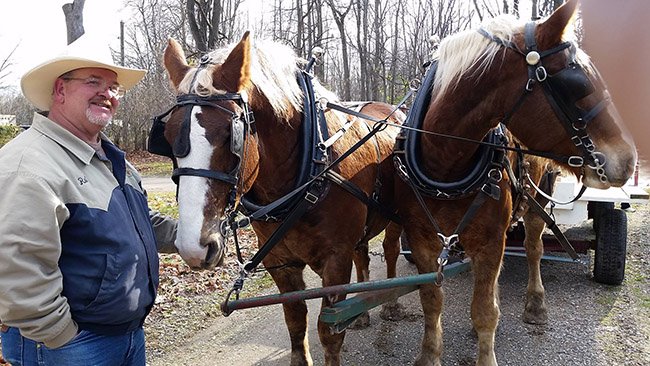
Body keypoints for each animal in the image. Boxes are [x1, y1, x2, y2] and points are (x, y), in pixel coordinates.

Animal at [161, 35, 400, 366]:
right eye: (168, 138)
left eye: (230, 136)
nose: (193, 247)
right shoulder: (279, 262)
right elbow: (295, 320)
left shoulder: (335, 260)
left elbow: (328, 331)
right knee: (362, 254)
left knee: (391, 250)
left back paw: (390, 304)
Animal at [388, 1, 636, 364]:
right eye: (578, 83)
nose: (629, 158)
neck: (444, 165)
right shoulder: (422, 240)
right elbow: (431, 301)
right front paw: (430, 354)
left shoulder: (491, 240)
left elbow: (484, 311)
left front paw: (486, 350)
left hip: (538, 199)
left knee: (533, 248)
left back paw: (535, 303)